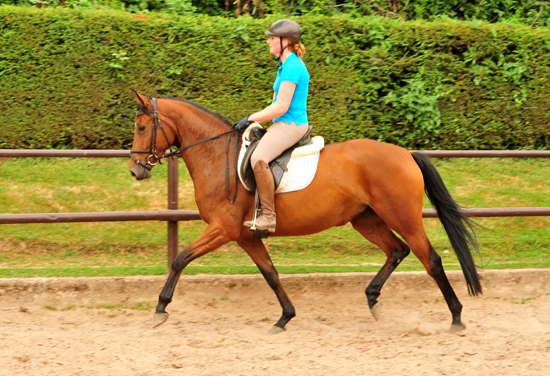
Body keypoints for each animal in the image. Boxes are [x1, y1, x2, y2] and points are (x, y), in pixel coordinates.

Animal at [129, 89, 484, 334]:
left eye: (142, 127)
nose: (135, 170)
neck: (218, 156)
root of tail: (406, 154)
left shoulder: (223, 228)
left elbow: (180, 259)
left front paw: (160, 309)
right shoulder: (246, 235)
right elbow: (270, 274)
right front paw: (285, 317)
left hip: (403, 217)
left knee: (430, 260)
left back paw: (456, 318)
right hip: (365, 220)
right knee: (397, 250)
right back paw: (373, 299)